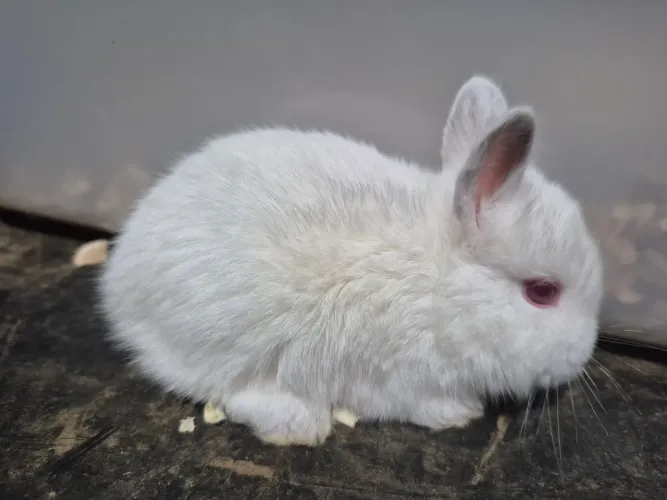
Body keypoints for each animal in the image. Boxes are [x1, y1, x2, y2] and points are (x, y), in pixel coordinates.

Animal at [99, 75, 604, 447]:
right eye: (542, 291)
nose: (584, 355)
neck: (438, 282)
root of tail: (117, 281)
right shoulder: (400, 378)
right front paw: (461, 413)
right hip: (230, 340)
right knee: (230, 391)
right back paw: (299, 425)